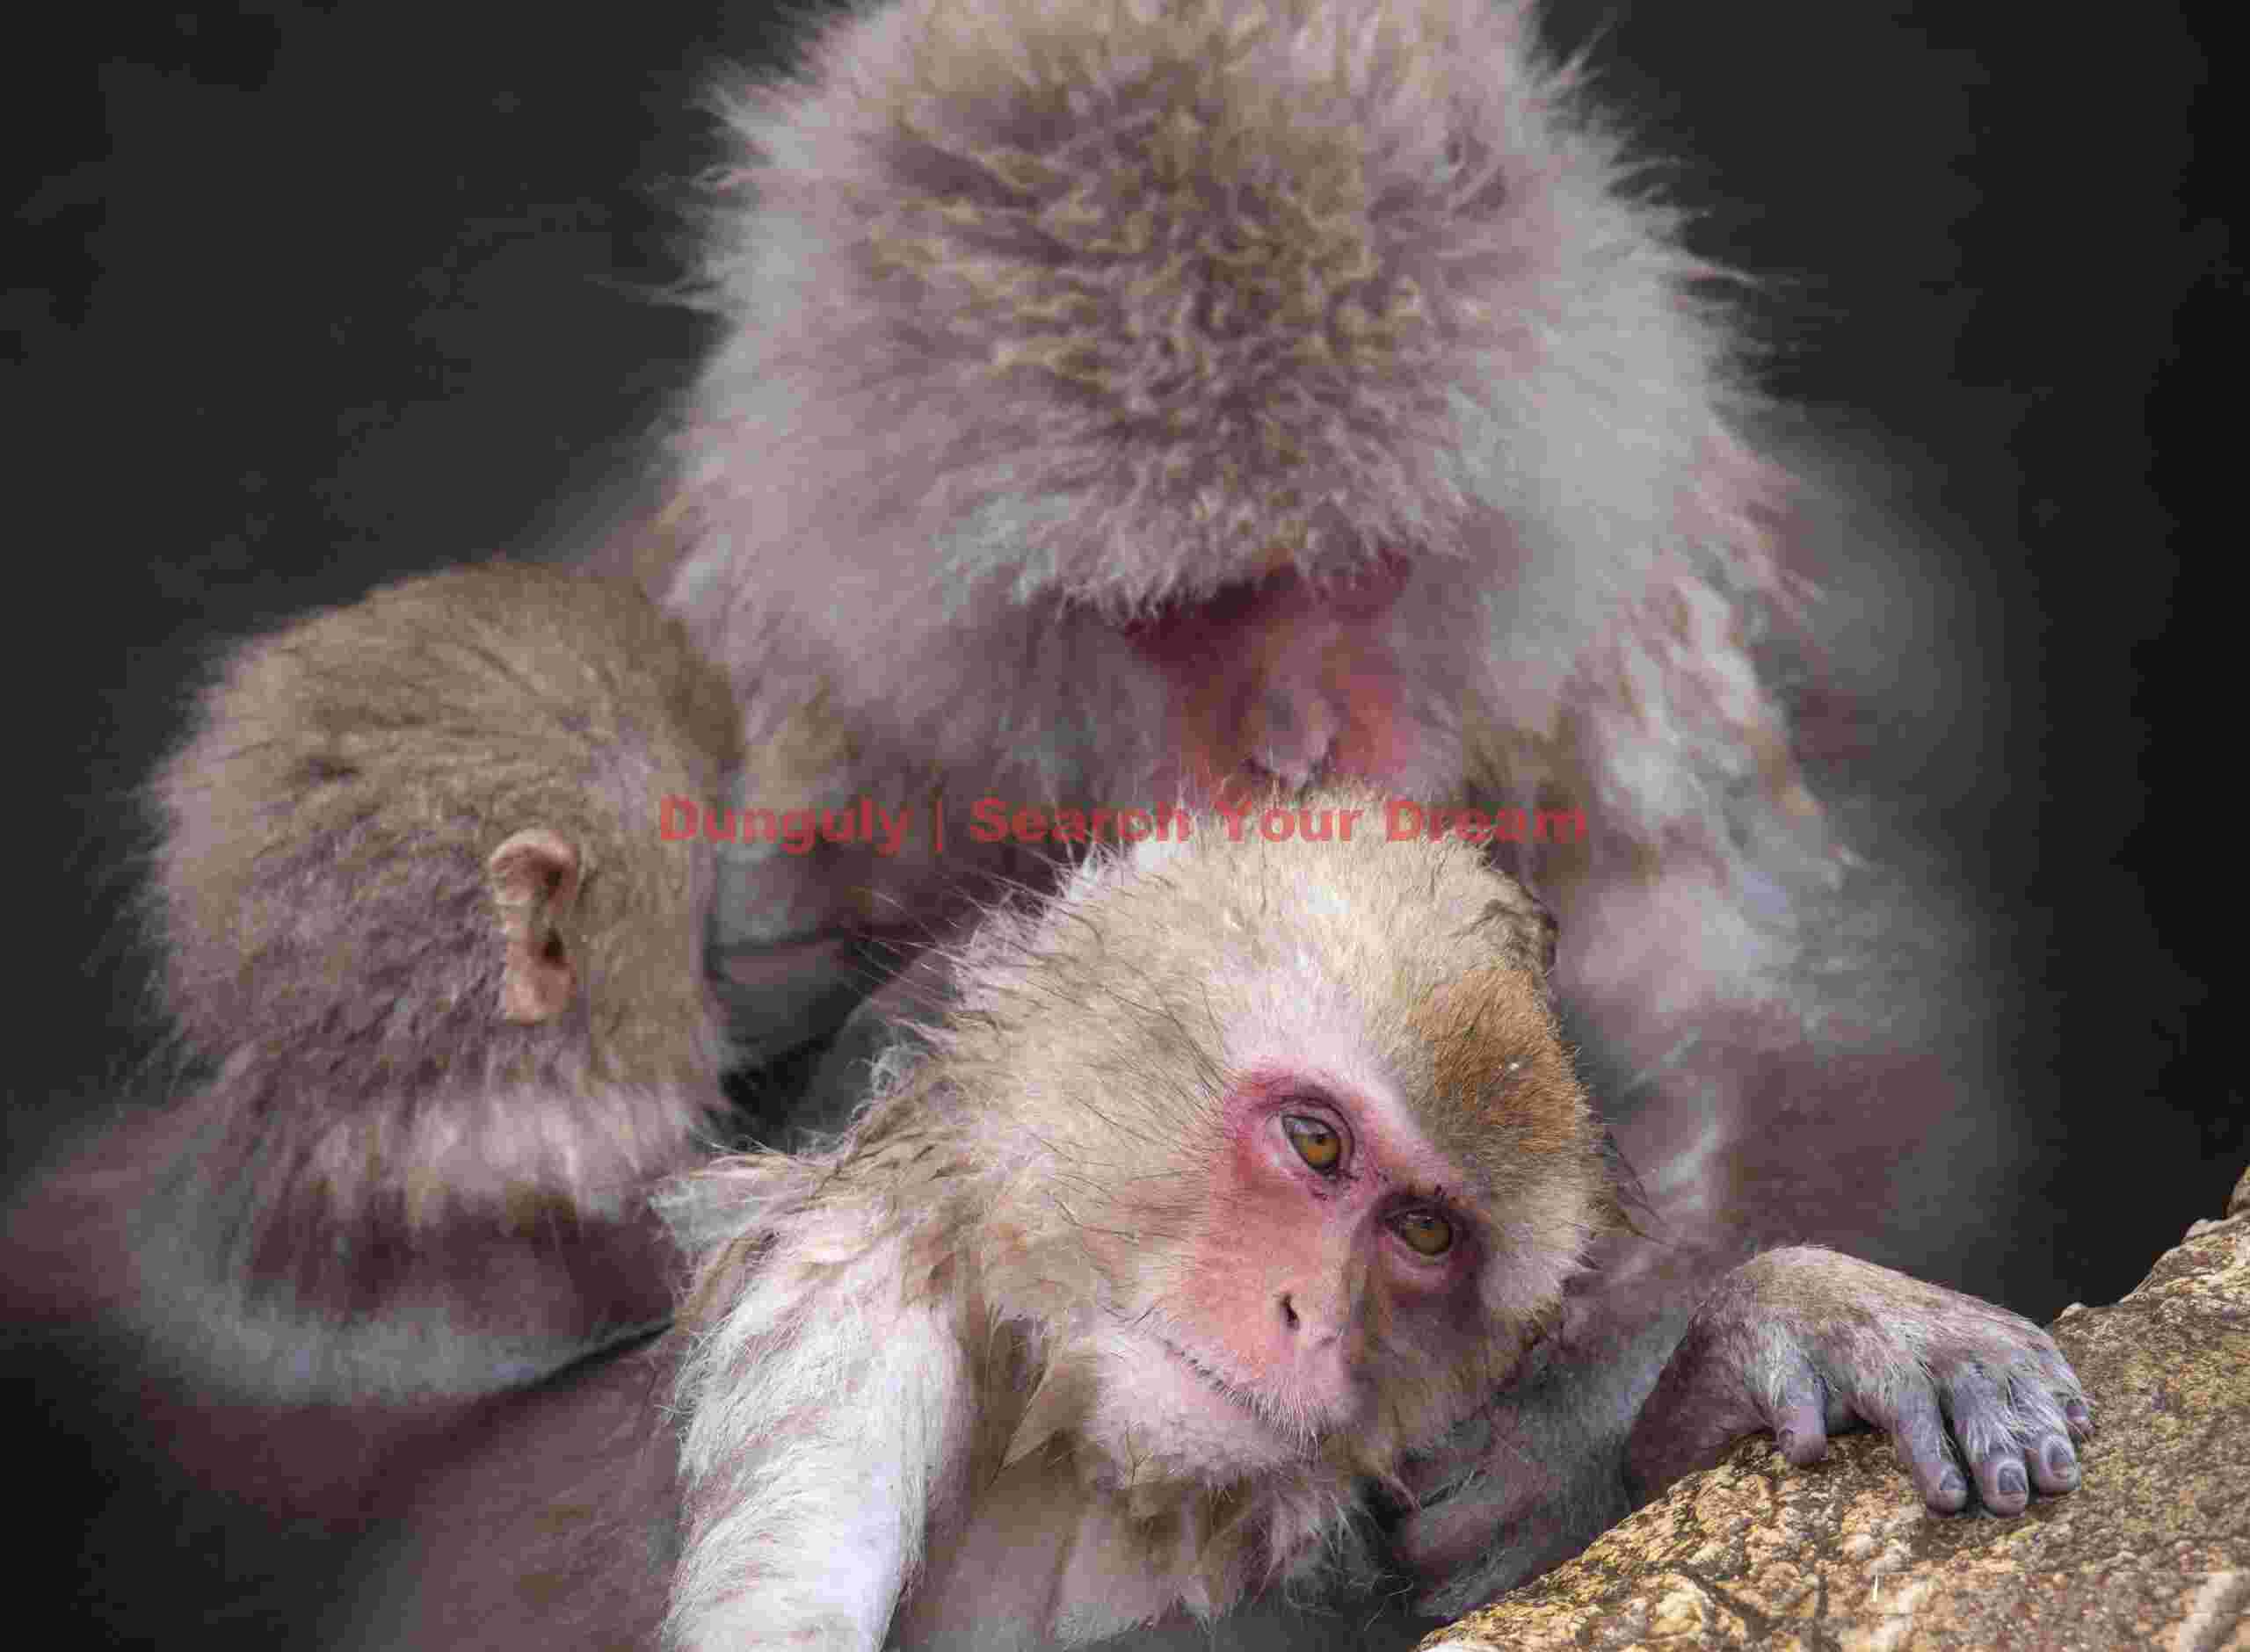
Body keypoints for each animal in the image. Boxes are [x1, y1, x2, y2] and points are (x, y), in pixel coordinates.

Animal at [341, 792, 2087, 1650]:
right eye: (1314, 1140)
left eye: (1425, 1235)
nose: (1303, 1314)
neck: (1069, 1461)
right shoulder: (837, 1330)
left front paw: (1782, 1330)